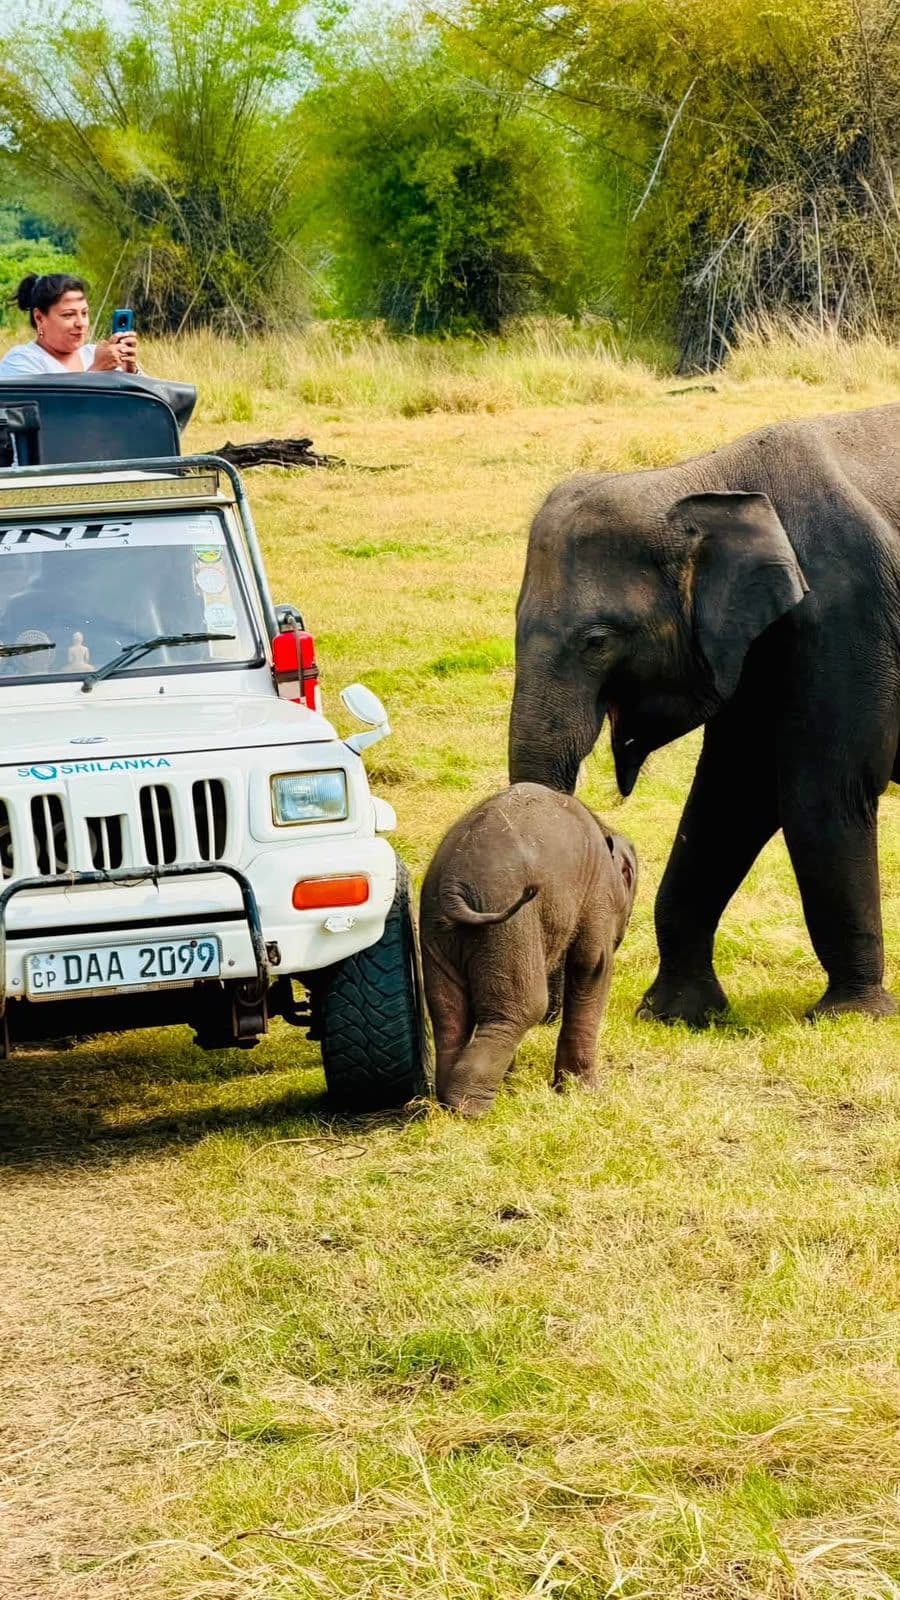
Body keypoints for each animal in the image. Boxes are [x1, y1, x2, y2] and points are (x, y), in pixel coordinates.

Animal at [420, 782, 637, 1115]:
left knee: (448, 1015)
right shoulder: (599, 893)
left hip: (436, 929)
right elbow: (593, 965)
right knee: (524, 1007)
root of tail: (452, 886)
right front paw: (585, 1093)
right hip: (508, 923)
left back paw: (448, 1105)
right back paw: (470, 1110)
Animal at [508, 403, 900, 1027]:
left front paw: (852, 1015)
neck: (703, 478)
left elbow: (826, 790)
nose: (547, 1012)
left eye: (596, 642)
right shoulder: (753, 647)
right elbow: (731, 797)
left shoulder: (846, 614)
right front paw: (677, 1013)